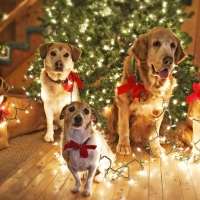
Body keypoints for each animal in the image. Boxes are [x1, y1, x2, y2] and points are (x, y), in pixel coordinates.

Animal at [104, 27, 186, 158]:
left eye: (173, 45)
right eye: (156, 43)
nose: (169, 60)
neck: (150, 85)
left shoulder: (160, 108)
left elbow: (154, 132)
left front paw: (156, 148)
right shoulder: (123, 103)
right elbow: (124, 127)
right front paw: (123, 146)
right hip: (111, 109)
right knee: (112, 126)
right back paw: (110, 135)